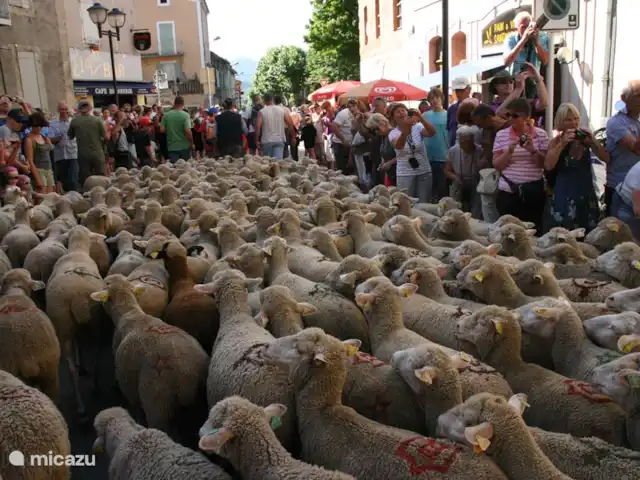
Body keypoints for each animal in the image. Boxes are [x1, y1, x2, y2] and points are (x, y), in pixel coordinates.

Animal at [45, 225, 106, 415]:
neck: (77, 250)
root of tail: (78, 296)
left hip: (64, 324)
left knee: (73, 368)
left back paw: (81, 404)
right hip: (93, 323)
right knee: (94, 357)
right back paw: (92, 390)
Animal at [91, 275, 209, 444]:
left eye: (106, 283)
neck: (130, 313)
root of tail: (188, 375)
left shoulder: (129, 386)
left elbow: (137, 409)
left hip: (158, 403)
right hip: (197, 407)